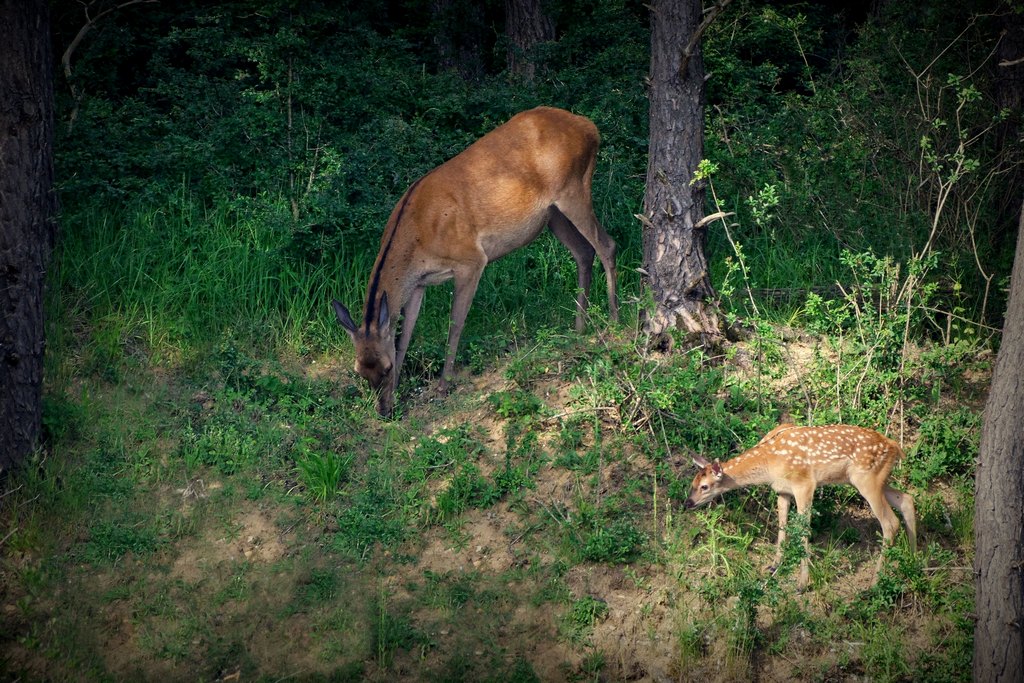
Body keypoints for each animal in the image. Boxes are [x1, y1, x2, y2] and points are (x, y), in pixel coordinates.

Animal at [331, 107, 614, 417]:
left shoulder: (471, 259)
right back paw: (579, 327)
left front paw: (444, 383)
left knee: (607, 246)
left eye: (386, 367)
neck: (417, 234)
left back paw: (613, 321)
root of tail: (589, 127)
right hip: (553, 216)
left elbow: (456, 322)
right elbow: (405, 333)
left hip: (574, 189)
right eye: (360, 371)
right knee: (584, 252)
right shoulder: (419, 283)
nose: (384, 411)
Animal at [684, 423, 917, 589]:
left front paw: (802, 583)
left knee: (890, 522)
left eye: (704, 486)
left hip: (867, 478)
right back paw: (912, 562)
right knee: (906, 499)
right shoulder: (782, 490)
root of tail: (895, 445)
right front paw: (774, 565)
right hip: (871, 480)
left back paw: (875, 582)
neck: (768, 463)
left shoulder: (804, 484)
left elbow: (803, 529)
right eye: (692, 483)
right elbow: (782, 526)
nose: (688, 503)